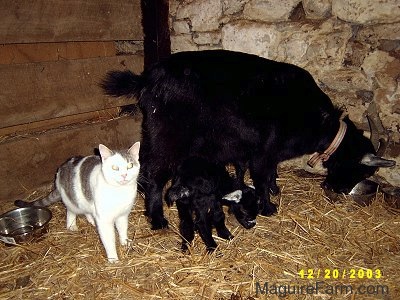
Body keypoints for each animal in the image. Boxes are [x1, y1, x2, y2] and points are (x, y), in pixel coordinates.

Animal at [101, 49, 396, 230]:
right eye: (362, 169)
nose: (337, 189)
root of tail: (149, 77)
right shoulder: (263, 151)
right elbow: (262, 177)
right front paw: (268, 206)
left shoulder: (254, 150)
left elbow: (257, 171)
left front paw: (268, 190)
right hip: (168, 138)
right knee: (154, 174)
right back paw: (157, 218)